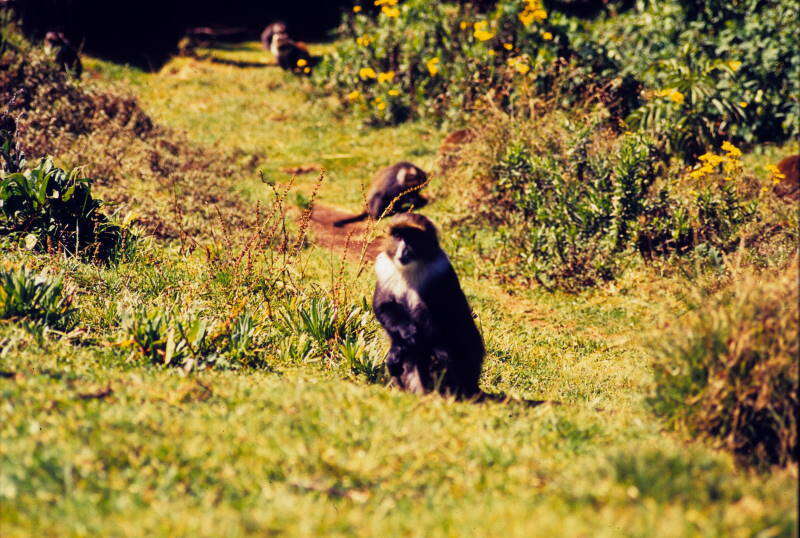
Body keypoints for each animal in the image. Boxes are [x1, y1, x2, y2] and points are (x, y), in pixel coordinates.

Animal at [374, 211, 484, 396]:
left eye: (412, 237)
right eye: (398, 236)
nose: (403, 250)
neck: (411, 269)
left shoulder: (439, 271)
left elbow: (444, 316)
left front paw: (402, 348)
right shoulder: (384, 268)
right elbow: (383, 306)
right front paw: (404, 337)